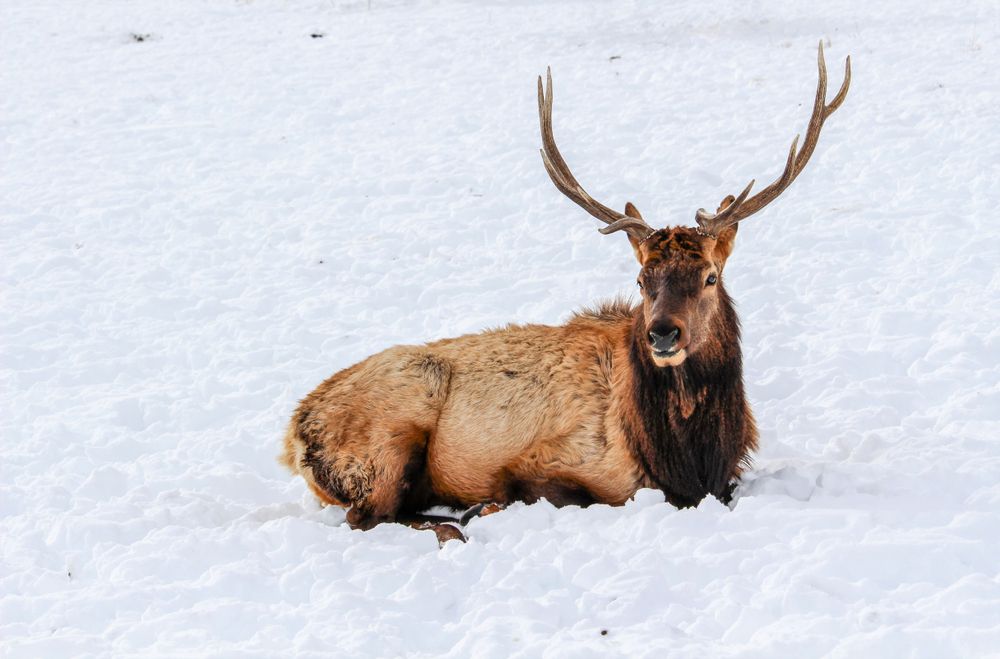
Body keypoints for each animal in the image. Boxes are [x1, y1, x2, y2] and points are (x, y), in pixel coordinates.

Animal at [280, 43, 850, 545]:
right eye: (641, 281)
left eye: (710, 276)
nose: (663, 335)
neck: (688, 454)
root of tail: (294, 436)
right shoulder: (551, 461)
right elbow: (556, 493)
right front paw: (481, 507)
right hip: (391, 432)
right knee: (368, 515)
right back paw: (451, 525)